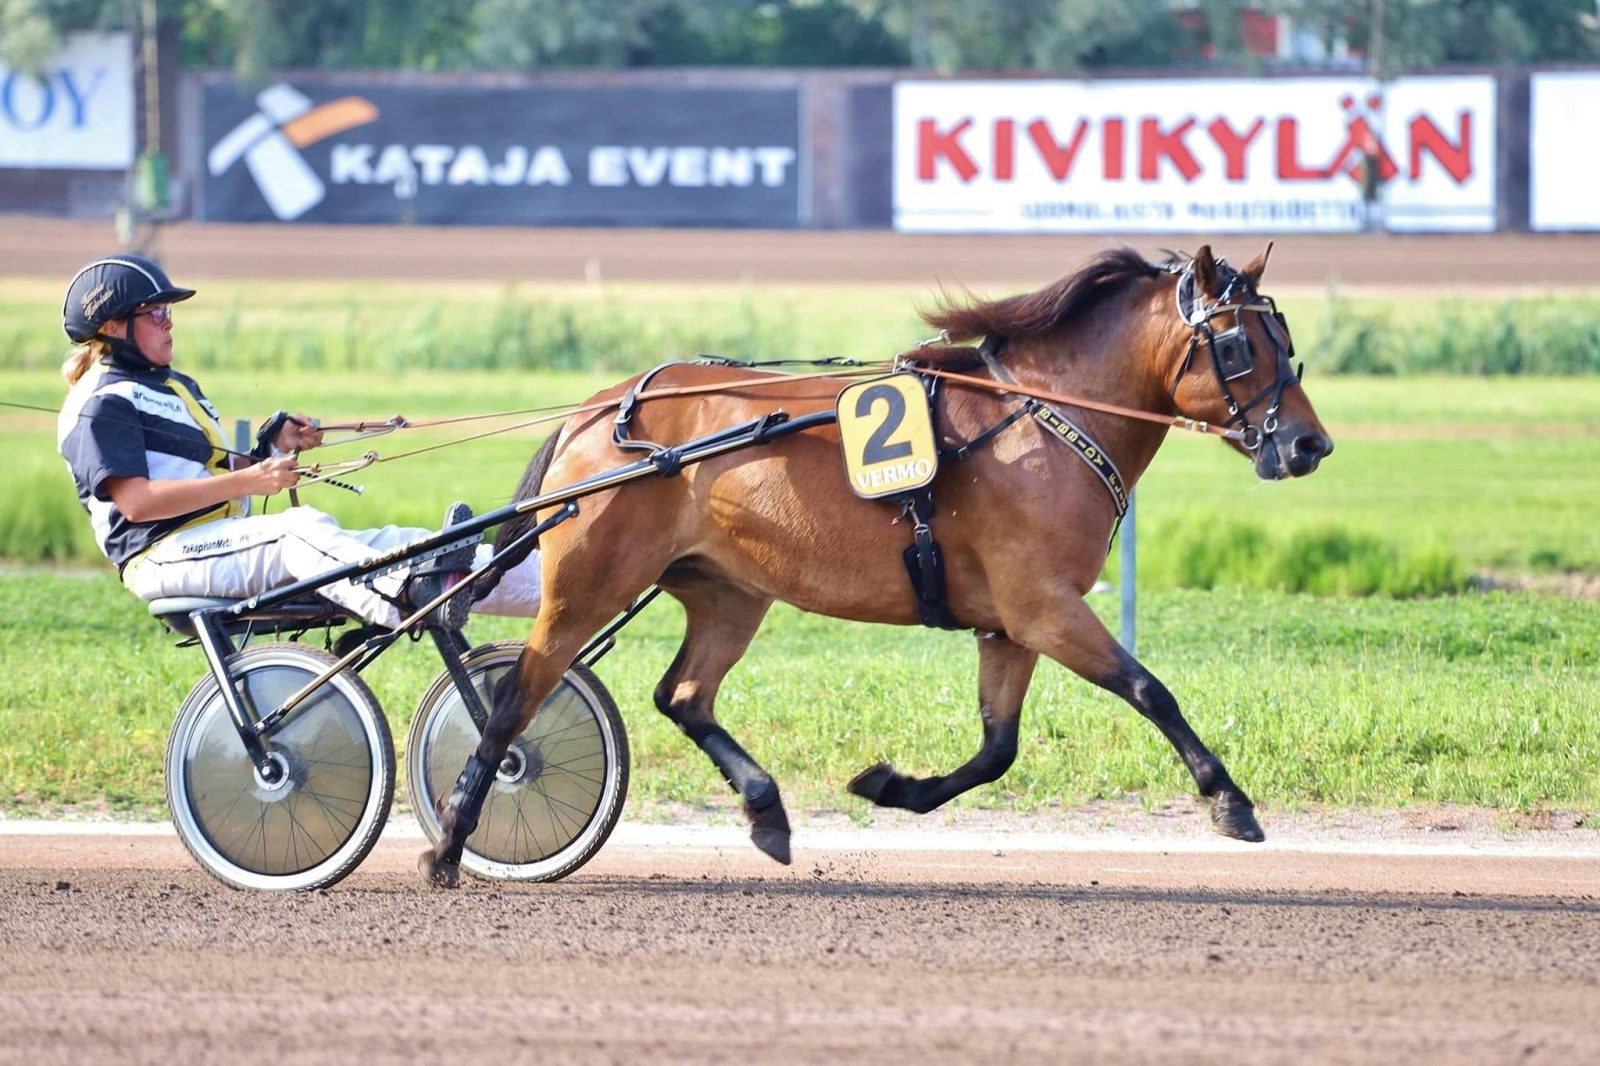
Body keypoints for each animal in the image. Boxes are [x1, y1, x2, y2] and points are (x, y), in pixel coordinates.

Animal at [419, 244, 1331, 883]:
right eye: (1239, 347)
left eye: (1285, 339)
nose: (1308, 445)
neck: (1044, 420)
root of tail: (599, 411)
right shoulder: (1045, 605)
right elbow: (1149, 689)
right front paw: (1230, 801)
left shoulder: (1009, 626)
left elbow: (997, 748)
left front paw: (892, 787)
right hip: (588, 586)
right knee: (515, 699)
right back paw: (450, 845)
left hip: (729, 591)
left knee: (682, 694)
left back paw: (767, 812)